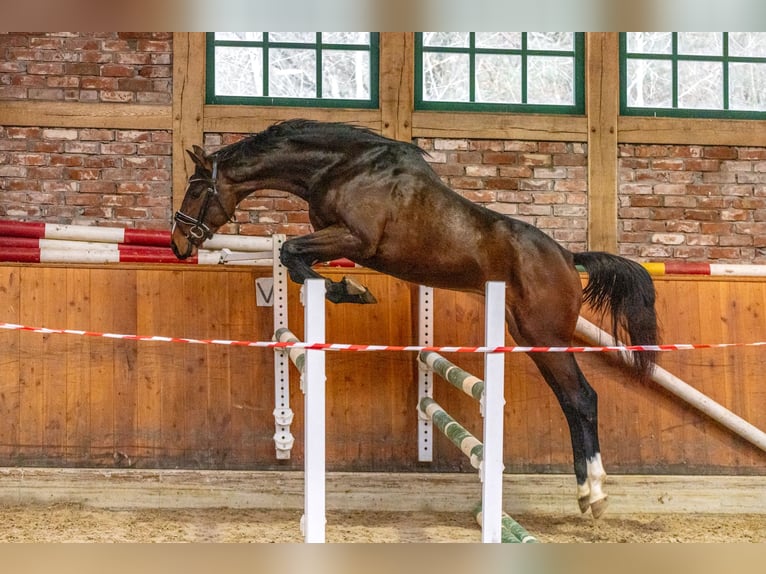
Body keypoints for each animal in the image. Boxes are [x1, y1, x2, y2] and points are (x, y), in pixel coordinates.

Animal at [170, 118, 660, 520]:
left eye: (195, 187)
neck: (342, 167)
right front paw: (345, 289)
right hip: (527, 336)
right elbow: (294, 259)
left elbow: (292, 251)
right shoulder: (339, 241)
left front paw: (350, 291)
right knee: (570, 401)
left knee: (582, 399)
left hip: (545, 335)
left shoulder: (355, 239)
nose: (177, 242)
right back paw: (586, 493)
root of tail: (567, 257)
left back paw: (596, 495)